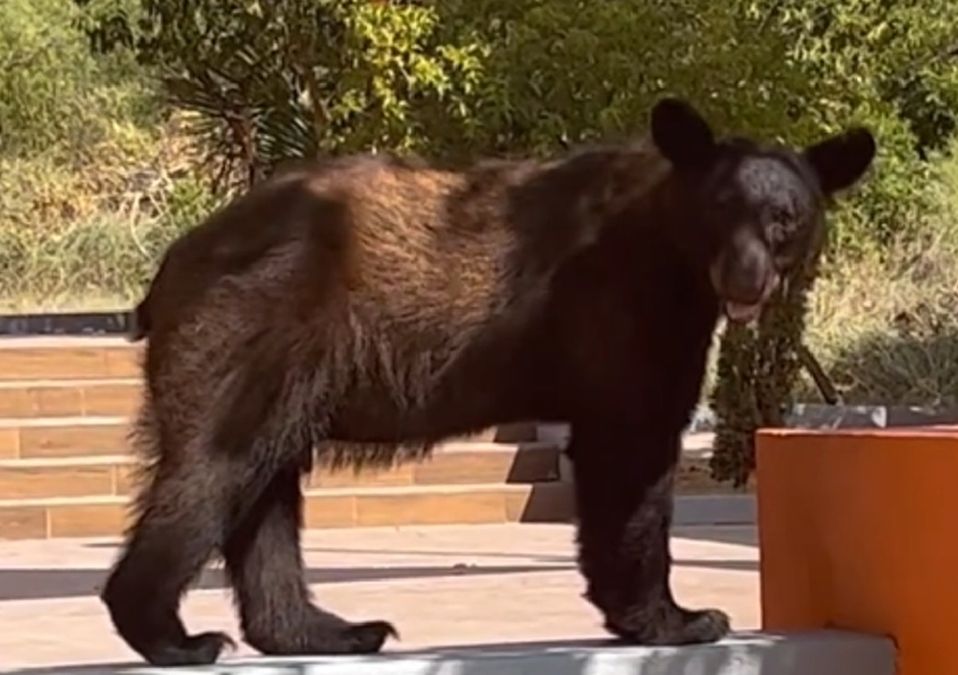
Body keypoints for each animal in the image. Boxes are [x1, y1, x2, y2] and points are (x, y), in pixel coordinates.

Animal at [100, 97, 876, 666]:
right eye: (720, 209)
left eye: (785, 217)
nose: (745, 279)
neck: (672, 250)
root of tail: (173, 265)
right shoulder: (621, 304)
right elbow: (631, 449)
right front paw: (680, 618)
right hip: (251, 327)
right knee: (215, 465)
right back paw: (174, 635)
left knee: (263, 491)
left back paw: (331, 630)